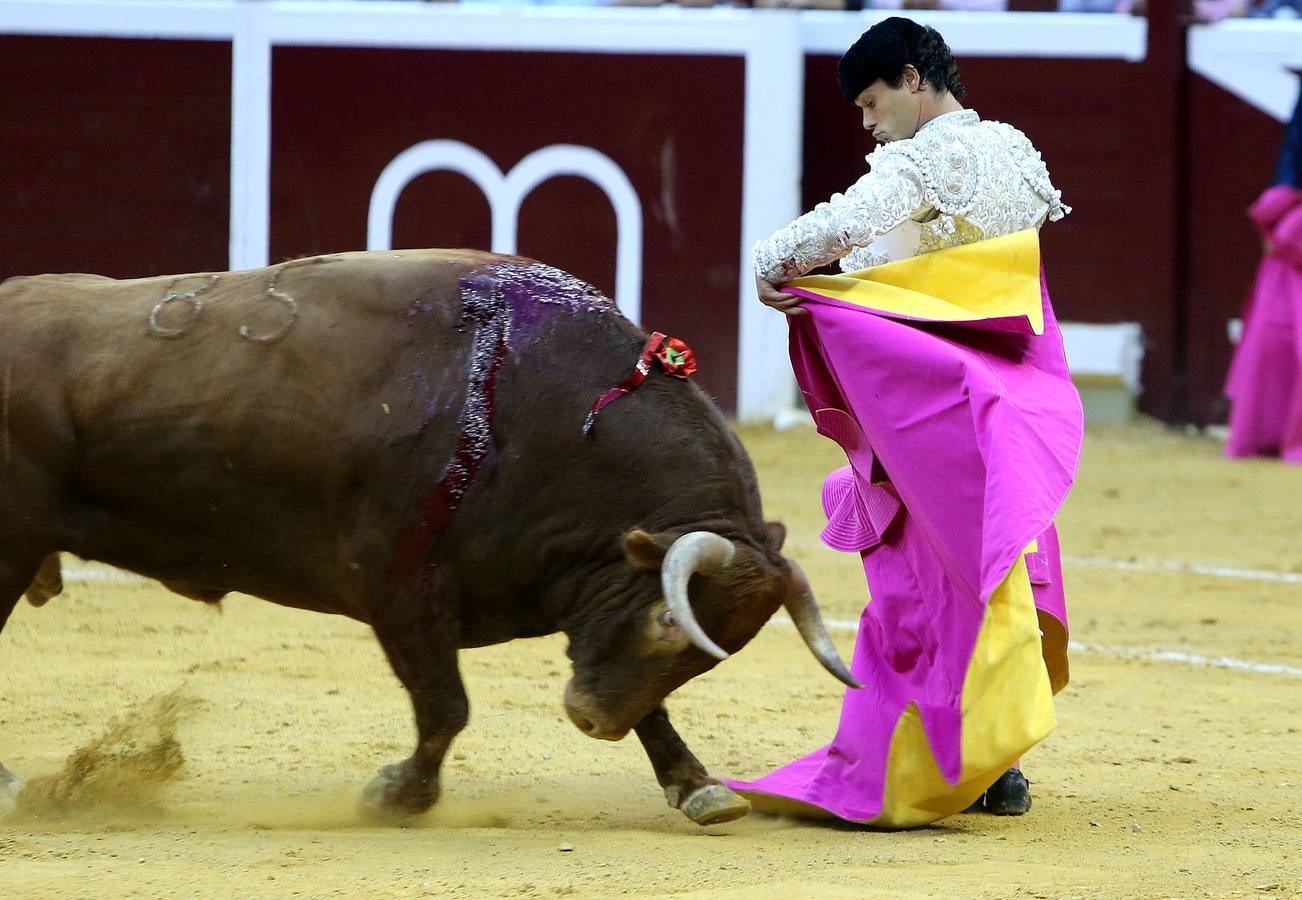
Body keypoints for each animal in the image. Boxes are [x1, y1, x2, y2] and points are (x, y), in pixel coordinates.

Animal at [0, 250, 854, 828]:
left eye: (708, 650)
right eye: (663, 621)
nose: (588, 721)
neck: (539, 417)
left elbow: (646, 703)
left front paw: (699, 787)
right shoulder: (400, 588)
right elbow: (446, 706)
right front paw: (395, 795)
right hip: (10, 550)